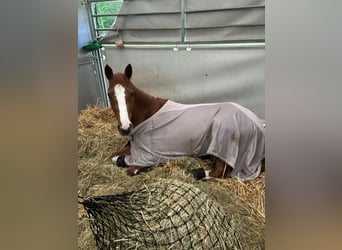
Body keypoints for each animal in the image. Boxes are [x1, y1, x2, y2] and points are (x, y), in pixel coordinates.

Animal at [104, 62, 264, 180]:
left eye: (131, 93)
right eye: (109, 94)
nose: (125, 127)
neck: (149, 113)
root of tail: (258, 125)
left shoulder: (149, 154)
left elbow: (131, 169)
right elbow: (113, 156)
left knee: (220, 172)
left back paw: (194, 172)